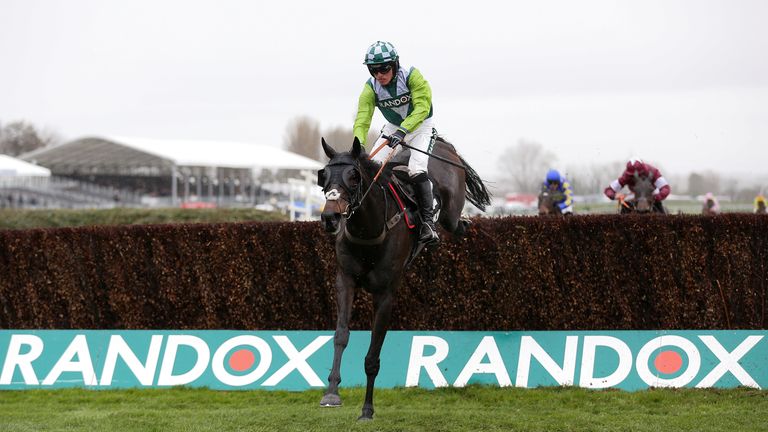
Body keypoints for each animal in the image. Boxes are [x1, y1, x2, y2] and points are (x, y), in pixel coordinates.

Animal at [316, 135, 488, 418]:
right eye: (324, 175)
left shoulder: (386, 293)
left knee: (457, 223)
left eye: (353, 176)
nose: (330, 217)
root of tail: (444, 145)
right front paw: (331, 393)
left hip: (450, 213)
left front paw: (367, 409)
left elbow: (373, 354)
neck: (369, 232)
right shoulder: (345, 281)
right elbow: (341, 335)